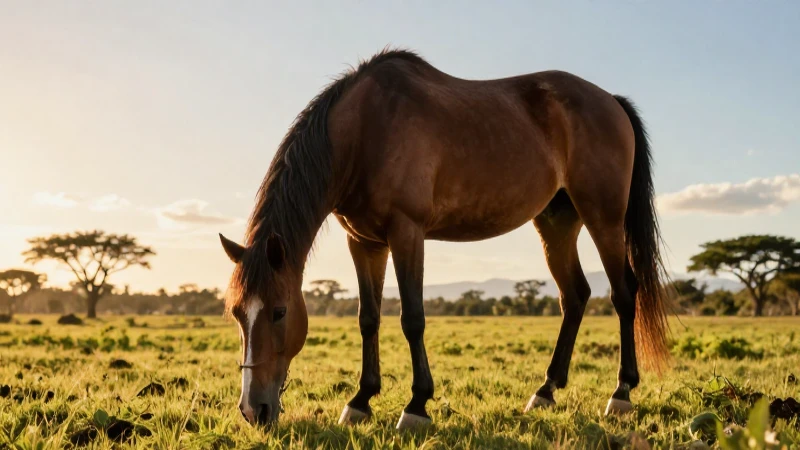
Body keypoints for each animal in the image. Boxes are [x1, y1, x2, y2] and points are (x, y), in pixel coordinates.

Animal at [219, 48, 670, 429]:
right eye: (237, 314)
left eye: (279, 312)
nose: (253, 409)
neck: (365, 130)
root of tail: (610, 100)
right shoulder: (363, 242)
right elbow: (369, 318)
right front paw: (361, 400)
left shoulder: (407, 232)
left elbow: (412, 318)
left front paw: (416, 406)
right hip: (556, 223)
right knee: (575, 296)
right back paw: (545, 392)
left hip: (603, 218)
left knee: (623, 294)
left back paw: (621, 393)